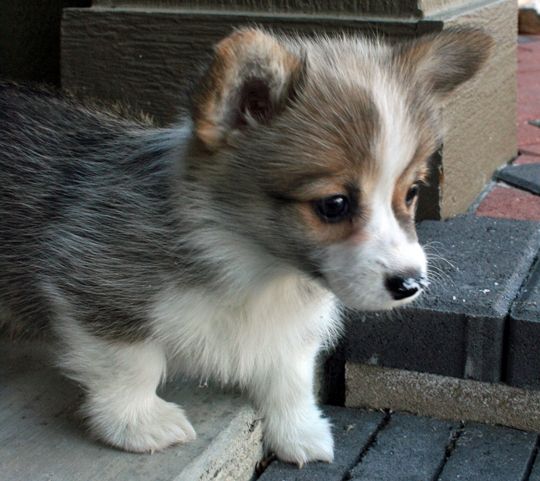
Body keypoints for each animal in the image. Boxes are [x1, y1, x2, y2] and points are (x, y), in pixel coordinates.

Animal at [0, 27, 492, 464]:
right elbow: (132, 363)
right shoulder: (97, 282)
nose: (411, 285)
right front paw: (140, 424)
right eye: (334, 205)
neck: (258, 266)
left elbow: (290, 376)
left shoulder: (291, 328)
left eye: (411, 193)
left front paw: (299, 431)